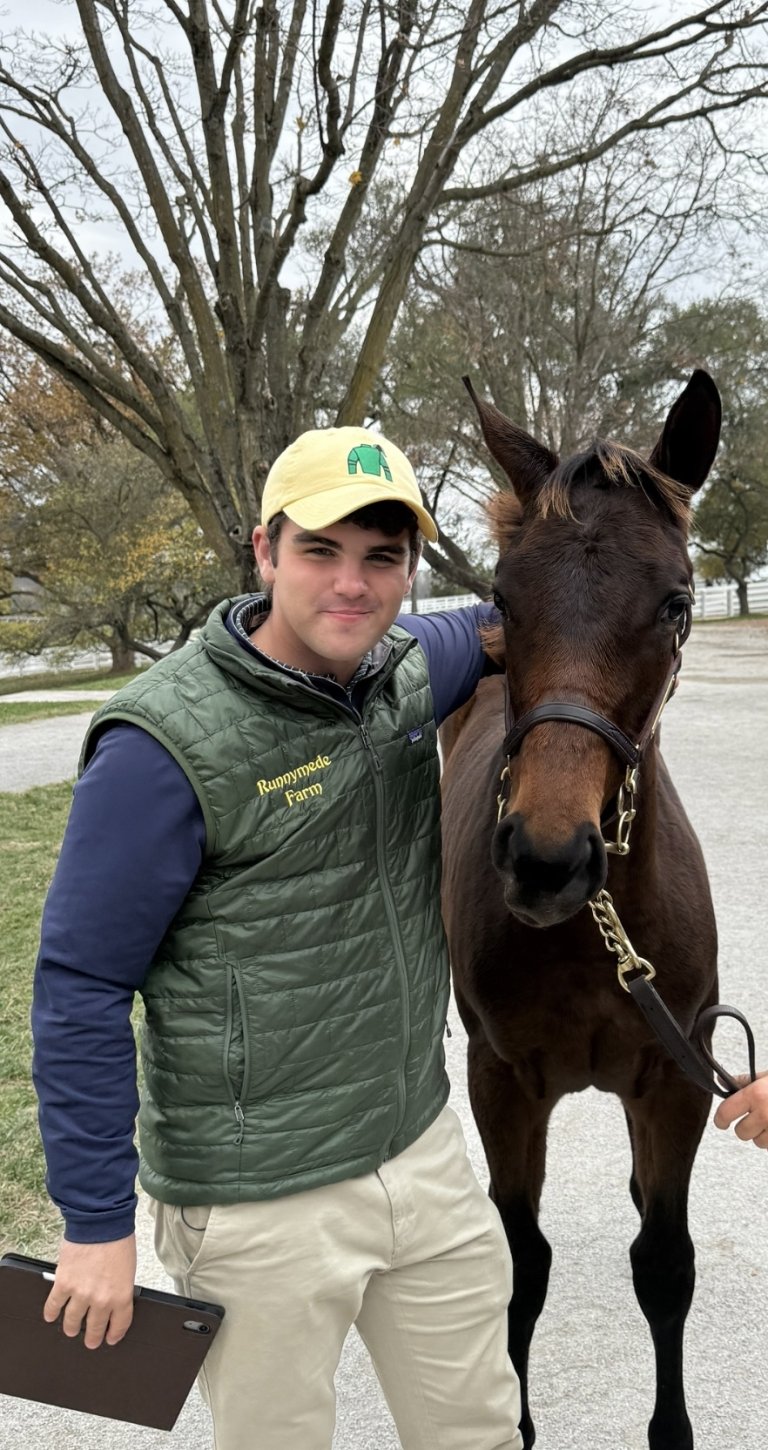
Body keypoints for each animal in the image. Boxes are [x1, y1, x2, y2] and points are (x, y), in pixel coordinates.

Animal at [440, 370, 723, 1450]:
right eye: (504, 596)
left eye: (677, 603)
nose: (547, 860)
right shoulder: (504, 1084)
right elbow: (522, 1267)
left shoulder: (678, 1078)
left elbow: (666, 1264)